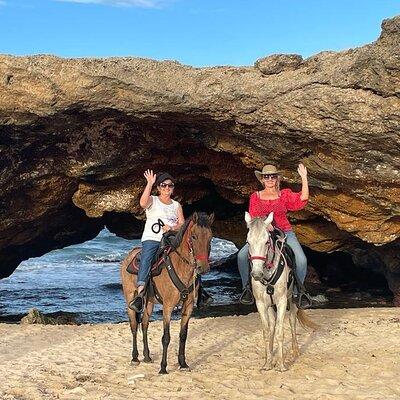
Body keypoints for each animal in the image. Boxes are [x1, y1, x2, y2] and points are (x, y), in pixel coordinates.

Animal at [120, 212, 214, 376]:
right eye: (194, 236)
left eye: (211, 237)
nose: (203, 267)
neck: (180, 267)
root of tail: (129, 255)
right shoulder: (168, 307)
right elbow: (166, 337)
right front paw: (163, 367)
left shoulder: (188, 307)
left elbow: (183, 335)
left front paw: (183, 364)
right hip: (130, 297)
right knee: (134, 325)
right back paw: (135, 358)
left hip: (149, 302)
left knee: (144, 324)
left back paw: (147, 356)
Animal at [245, 211, 318, 370]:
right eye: (248, 242)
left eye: (266, 242)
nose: (257, 274)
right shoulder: (261, 304)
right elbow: (267, 331)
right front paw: (268, 362)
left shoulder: (282, 302)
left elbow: (280, 331)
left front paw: (281, 364)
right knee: (272, 325)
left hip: (292, 300)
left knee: (291, 321)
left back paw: (295, 351)